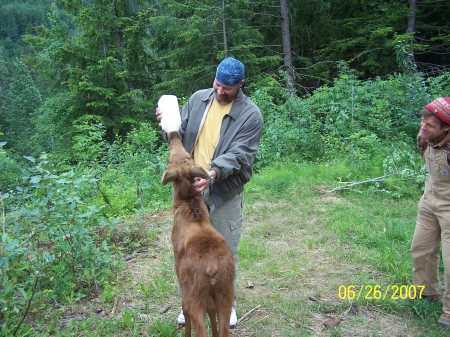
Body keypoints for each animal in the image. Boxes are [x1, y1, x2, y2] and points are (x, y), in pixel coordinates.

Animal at [163, 131, 237, 336]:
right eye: (189, 156)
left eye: (168, 160)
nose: (174, 135)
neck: (189, 204)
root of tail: (212, 269)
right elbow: (212, 316)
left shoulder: (178, 268)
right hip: (226, 293)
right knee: (223, 328)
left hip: (194, 295)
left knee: (196, 322)